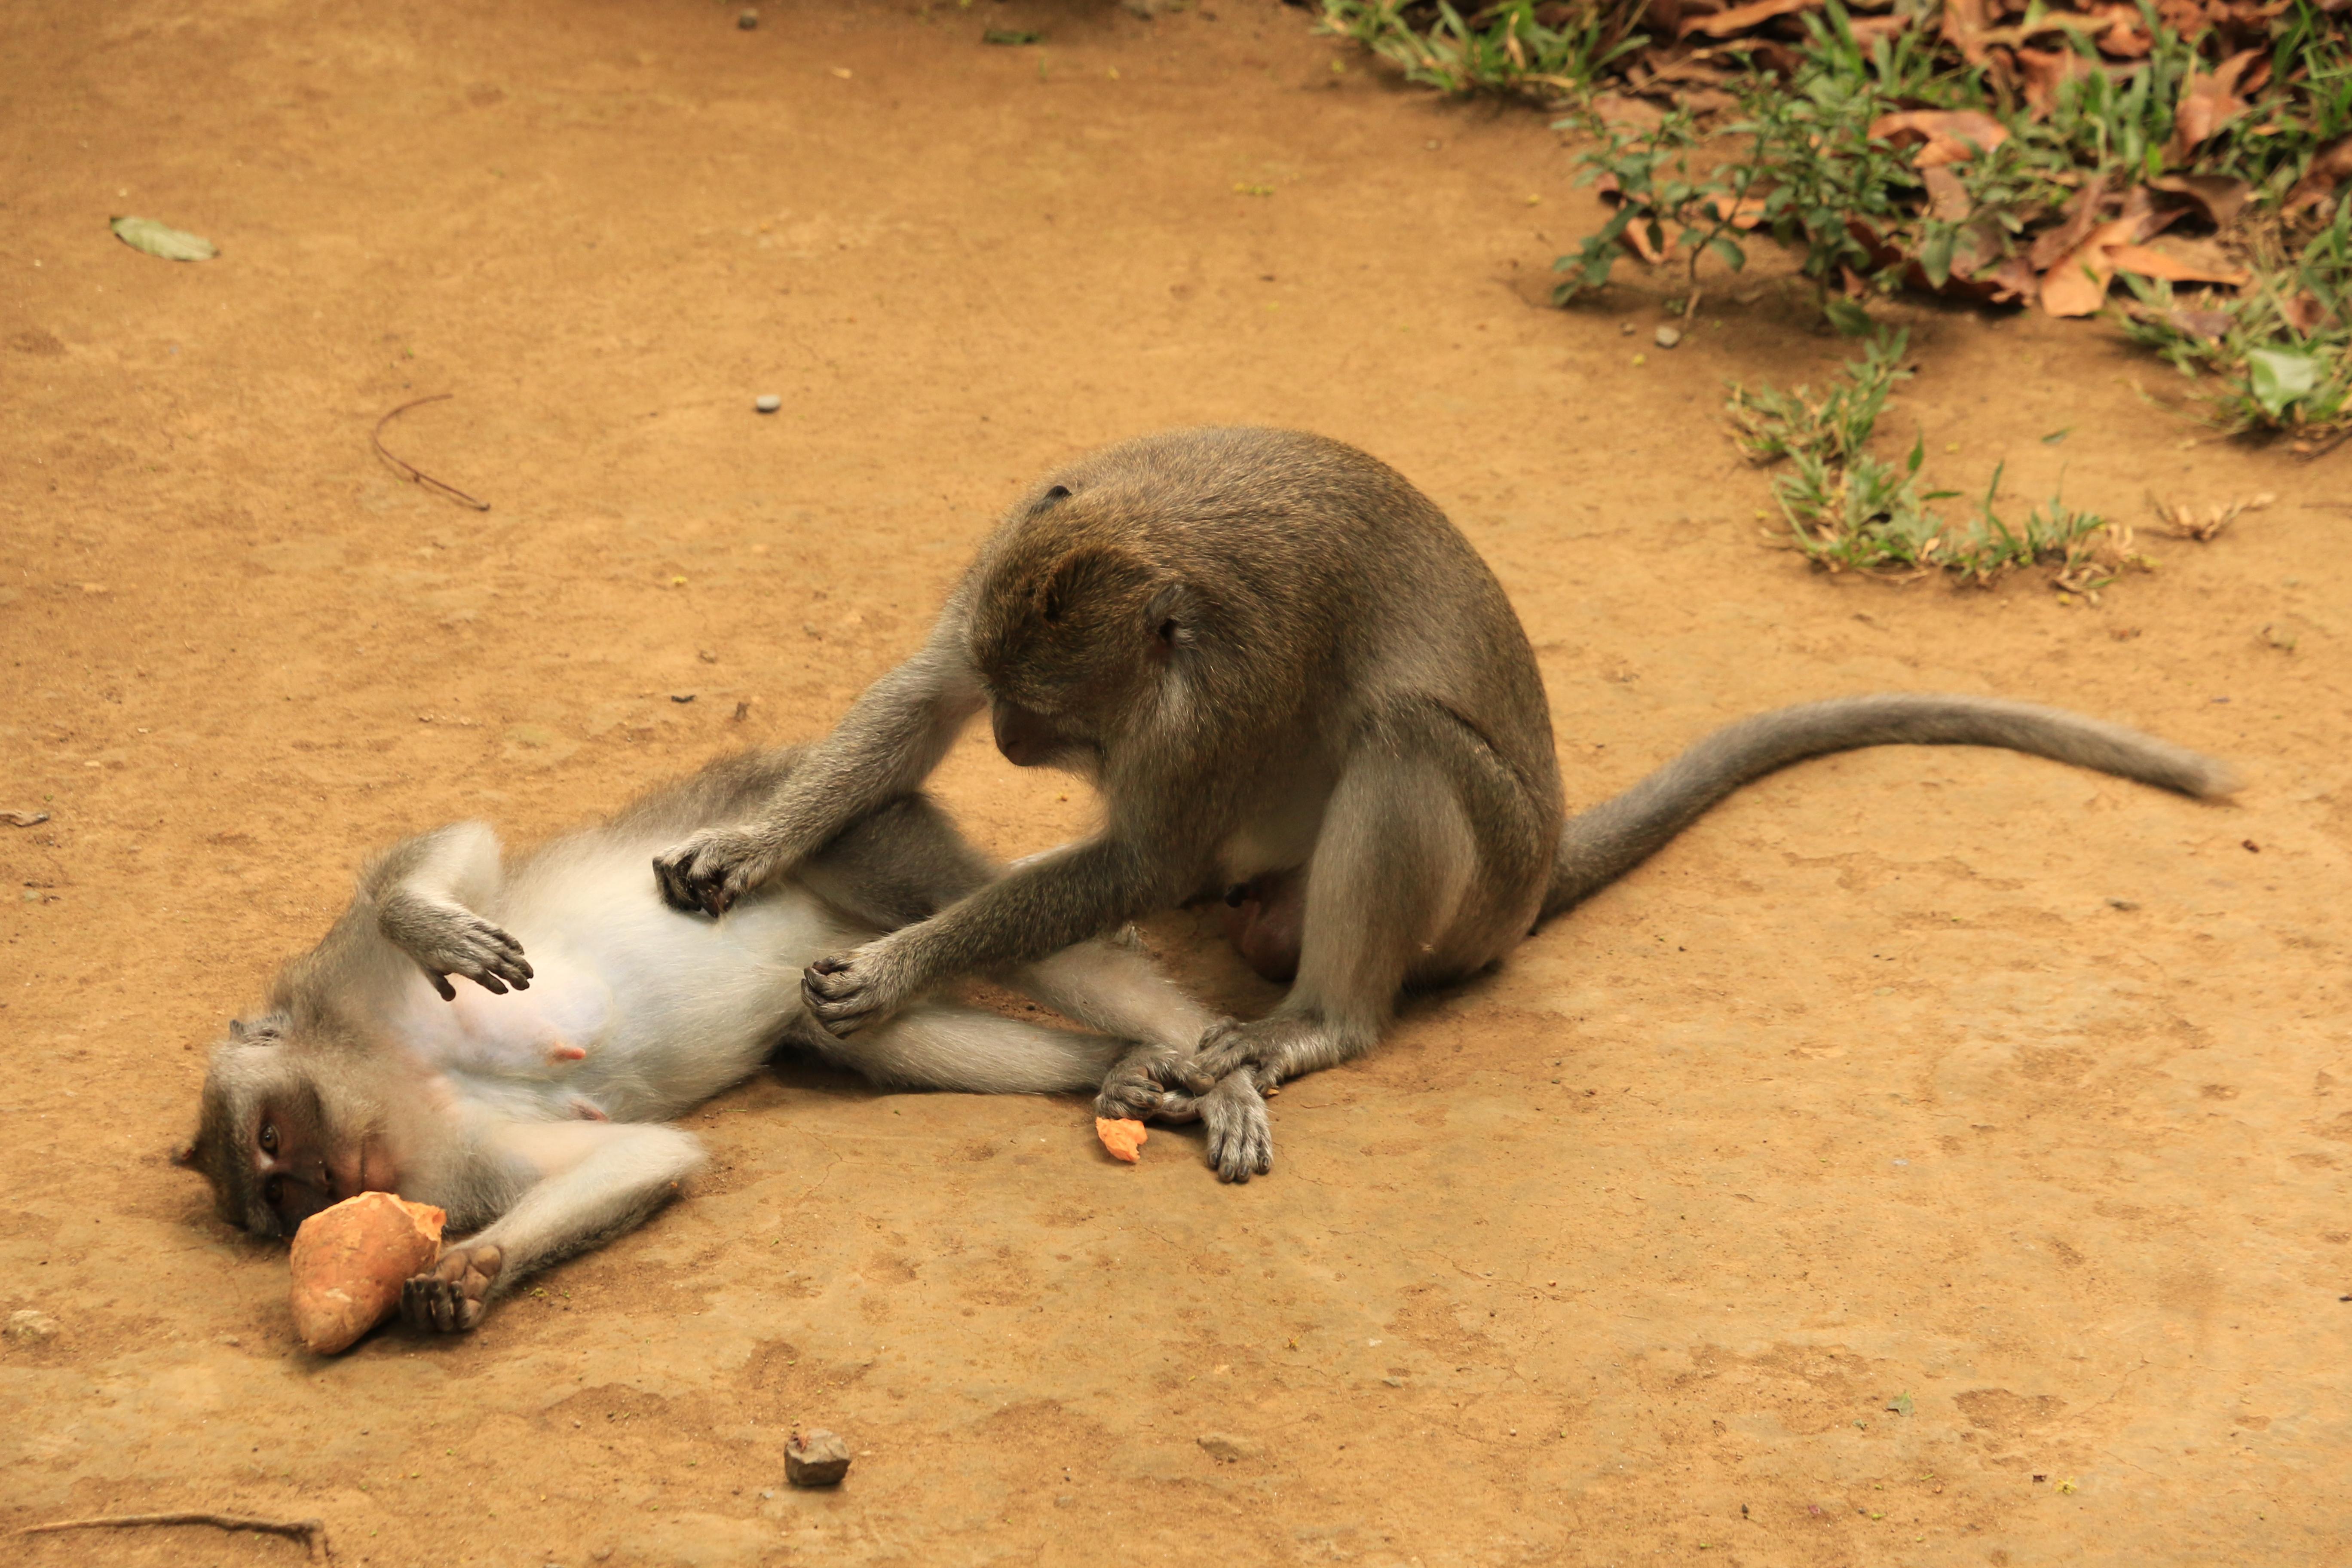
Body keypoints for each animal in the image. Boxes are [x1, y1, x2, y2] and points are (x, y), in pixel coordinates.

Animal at [178, 748, 1219, 1334]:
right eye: (281, 1202)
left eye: (272, 1137)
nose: (324, 1180)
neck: (394, 1074)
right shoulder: (440, 1163)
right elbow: (642, 1155)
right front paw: (475, 1271)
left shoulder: (347, 983)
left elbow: (457, 850)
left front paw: (428, 922)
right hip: (846, 965)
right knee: (862, 1032)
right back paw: (1126, 1068)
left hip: (853, 835)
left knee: (1004, 926)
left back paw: (1215, 1055)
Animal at [649, 426, 2237, 1184]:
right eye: (1011, 703)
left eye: (1061, 719)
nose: (1023, 744)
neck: (1159, 540)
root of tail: (1536, 874)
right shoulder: (1004, 560)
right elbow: (917, 699)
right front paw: (748, 845)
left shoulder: (1217, 694)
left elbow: (1144, 855)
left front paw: (899, 961)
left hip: (1469, 885)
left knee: (1405, 743)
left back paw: (1319, 1025)